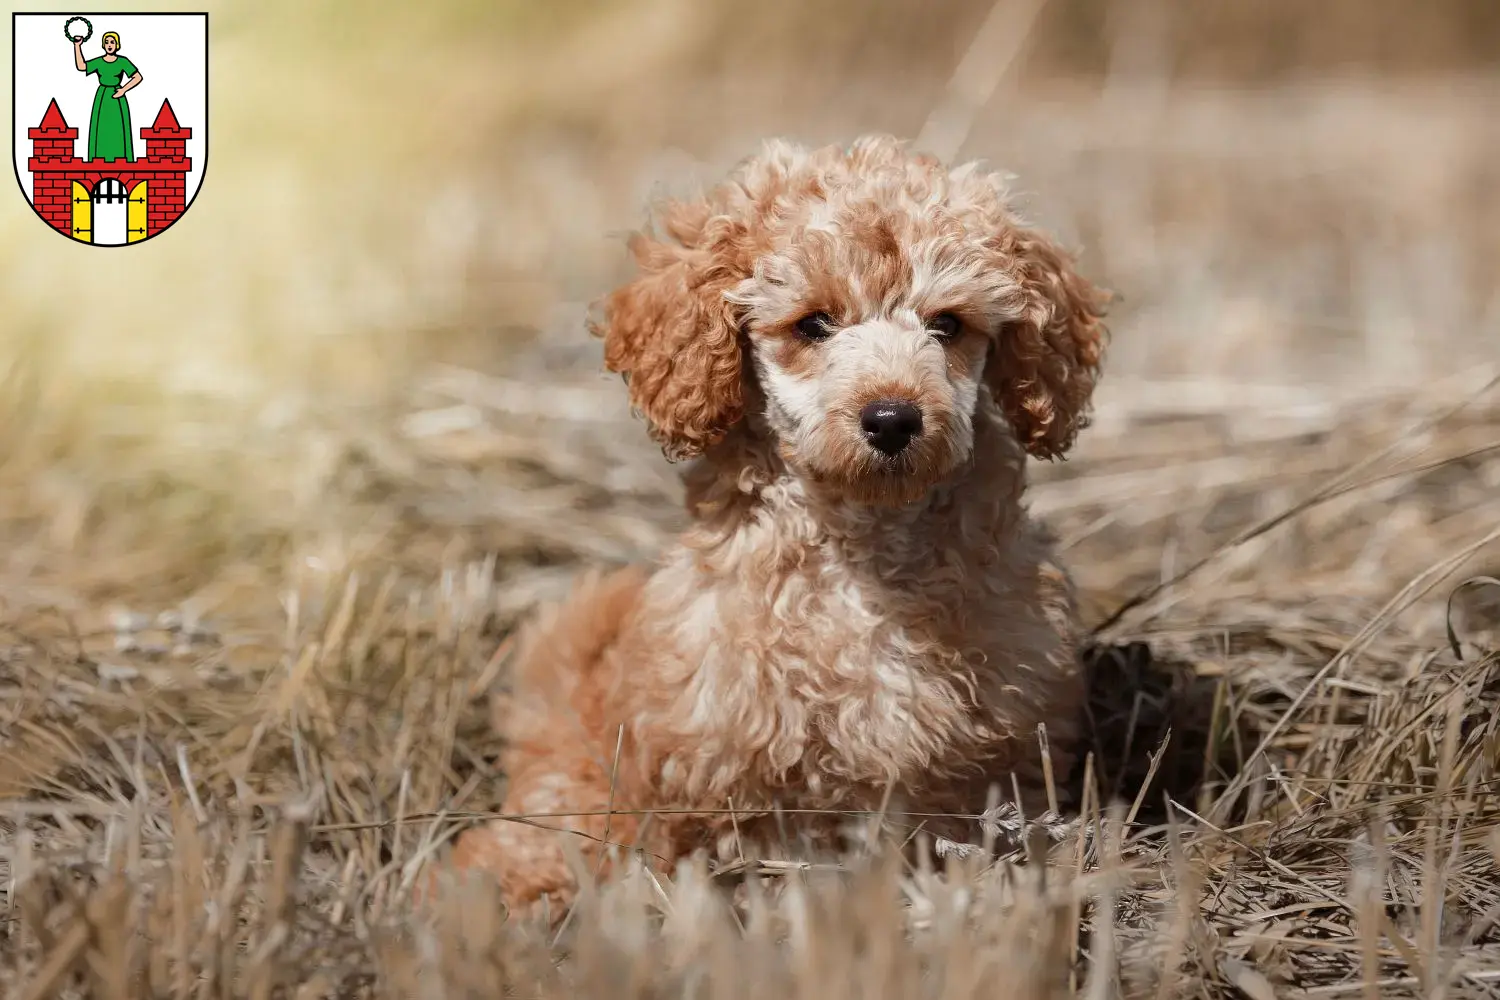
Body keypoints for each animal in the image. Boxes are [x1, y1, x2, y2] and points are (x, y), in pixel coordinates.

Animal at [441, 134, 1104, 923]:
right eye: (813, 324)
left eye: (947, 324)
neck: (865, 545)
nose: (893, 419)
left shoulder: (993, 752)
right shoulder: (727, 765)